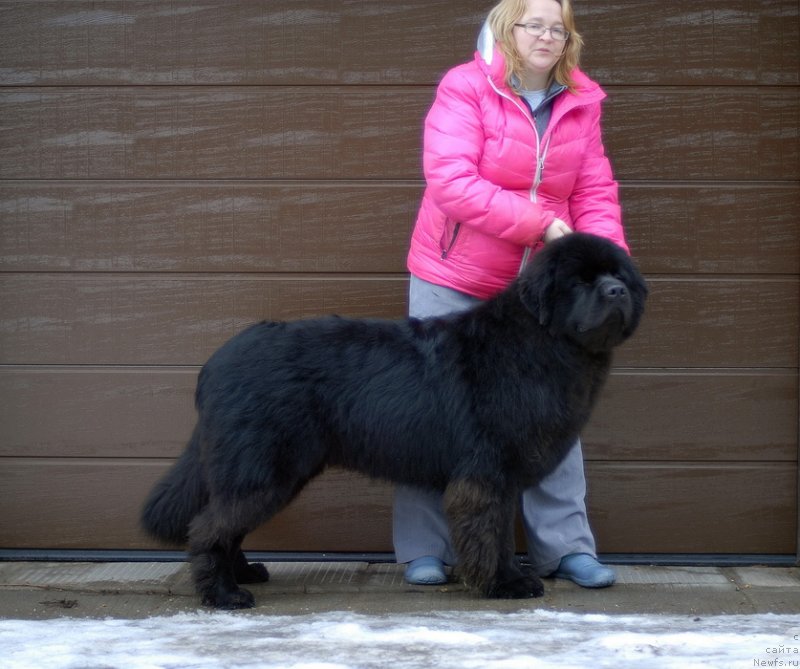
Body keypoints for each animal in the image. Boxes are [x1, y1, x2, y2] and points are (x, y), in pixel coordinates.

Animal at [141, 232, 648, 608]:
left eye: (617, 275)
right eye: (580, 282)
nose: (617, 291)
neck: (539, 344)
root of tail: (216, 362)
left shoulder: (501, 477)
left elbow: (501, 533)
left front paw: (505, 579)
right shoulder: (487, 473)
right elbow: (490, 532)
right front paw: (503, 586)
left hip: (264, 470)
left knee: (225, 524)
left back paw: (244, 573)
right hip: (266, 468)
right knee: (210, 527)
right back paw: (223, 595)